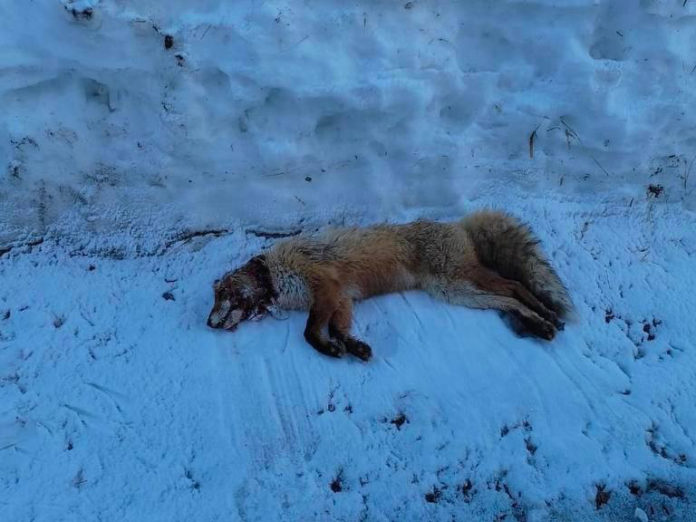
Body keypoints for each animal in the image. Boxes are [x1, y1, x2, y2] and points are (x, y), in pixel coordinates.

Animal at [207, 210, 573, 361]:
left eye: (221, 294)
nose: (207, 323)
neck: (275, 276)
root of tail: (457, 224)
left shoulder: (325, 285)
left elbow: (309, 332)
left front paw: (330, 350)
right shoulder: (342, 298)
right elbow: (338, 329)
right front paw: (354, 348)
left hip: (460, 278)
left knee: (513, 286)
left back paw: (543, 317)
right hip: (456, 292)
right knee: (506, 296)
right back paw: (540, 322)